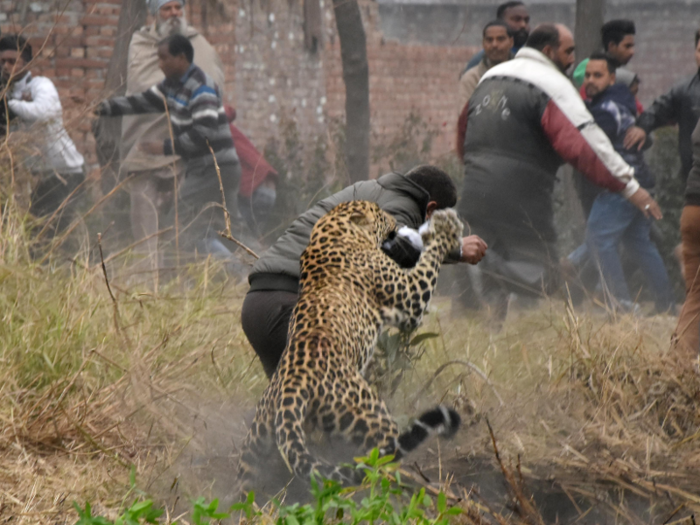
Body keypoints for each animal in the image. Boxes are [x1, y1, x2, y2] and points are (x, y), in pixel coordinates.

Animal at [237, 200, 464, 492]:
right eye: (381, 214)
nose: (396, 220)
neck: (331, 233)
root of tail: (292, 386)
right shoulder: (410, 299)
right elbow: (430, 260)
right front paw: (445, 229)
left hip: (256, 445)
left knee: (245, 483)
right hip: (371, 416)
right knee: (381, 462)